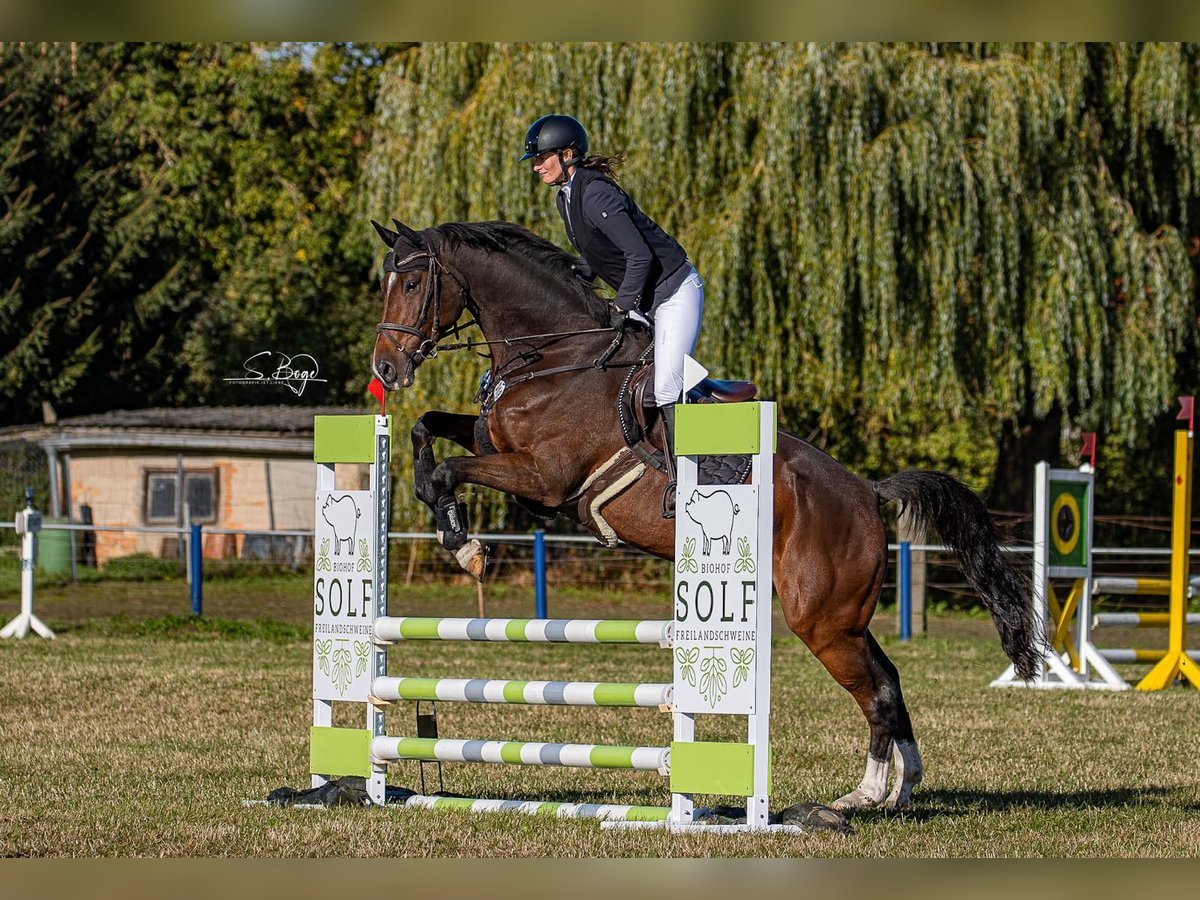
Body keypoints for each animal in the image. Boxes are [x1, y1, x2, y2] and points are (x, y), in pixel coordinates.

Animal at [367, 217, 1041, 811]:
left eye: (412, 284)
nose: (386, 369)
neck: (552, 358)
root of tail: (867, 493)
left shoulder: (542, 478)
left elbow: (449, 472)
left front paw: (463, 544)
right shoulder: (498, 449)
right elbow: (428, 431)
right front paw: (444, 517)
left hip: (819, 619)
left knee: (875, 692)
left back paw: (861, 797)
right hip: (842, 616)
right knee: (891, 681)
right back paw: (903, 788)